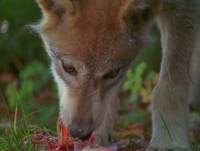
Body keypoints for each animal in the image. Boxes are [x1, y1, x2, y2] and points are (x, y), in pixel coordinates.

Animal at [34, 0, 200, 150]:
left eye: (112, 73)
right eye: (69, 68)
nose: (79, 133)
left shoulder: (183, 9)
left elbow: (169, 87)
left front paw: (168, 143)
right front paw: (99, 138)